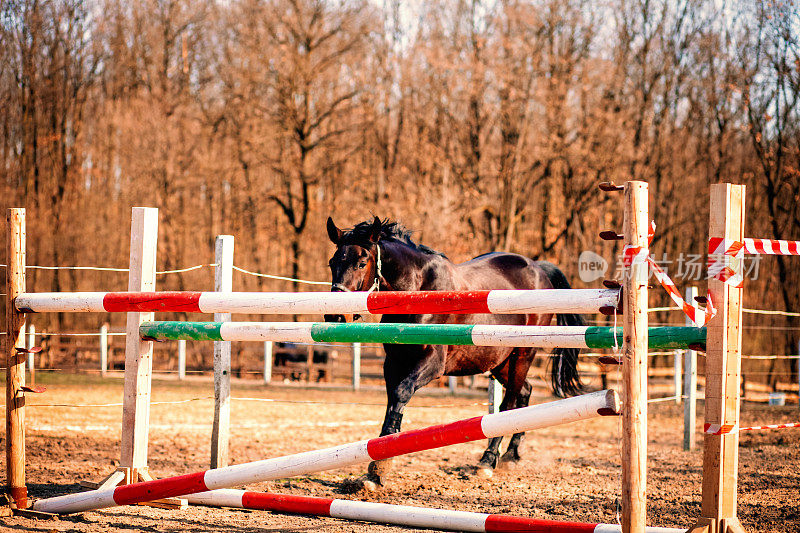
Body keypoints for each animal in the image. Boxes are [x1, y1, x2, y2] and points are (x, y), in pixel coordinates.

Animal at [324, 215, 580, 486]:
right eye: (332, 263)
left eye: (362, 263)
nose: (335, 315)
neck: (418, 290)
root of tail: (538, 269)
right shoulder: (394, 362)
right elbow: (393, 398)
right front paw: (378, 466)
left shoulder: (432, 363)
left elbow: (401, 393)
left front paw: (381, 465)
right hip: (499, 363)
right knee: (525, 392)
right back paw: (511, 456)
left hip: (522, 354)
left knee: (508, 403)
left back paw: (488, 461)